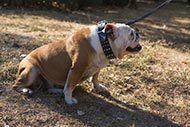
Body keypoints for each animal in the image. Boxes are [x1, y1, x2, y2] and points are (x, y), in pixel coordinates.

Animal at [12, 22, 141, 105]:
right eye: (131, 34)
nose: (138, 33)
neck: (103, 41)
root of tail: (21, 63)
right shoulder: (77, 68)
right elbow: (70, 86)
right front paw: (69, 100)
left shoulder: (98, 67)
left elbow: (95, 78)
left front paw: (98, 87)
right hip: (31, 70)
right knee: (16, 85)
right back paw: (26, 90)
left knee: (48, 87)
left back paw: (57, 90)